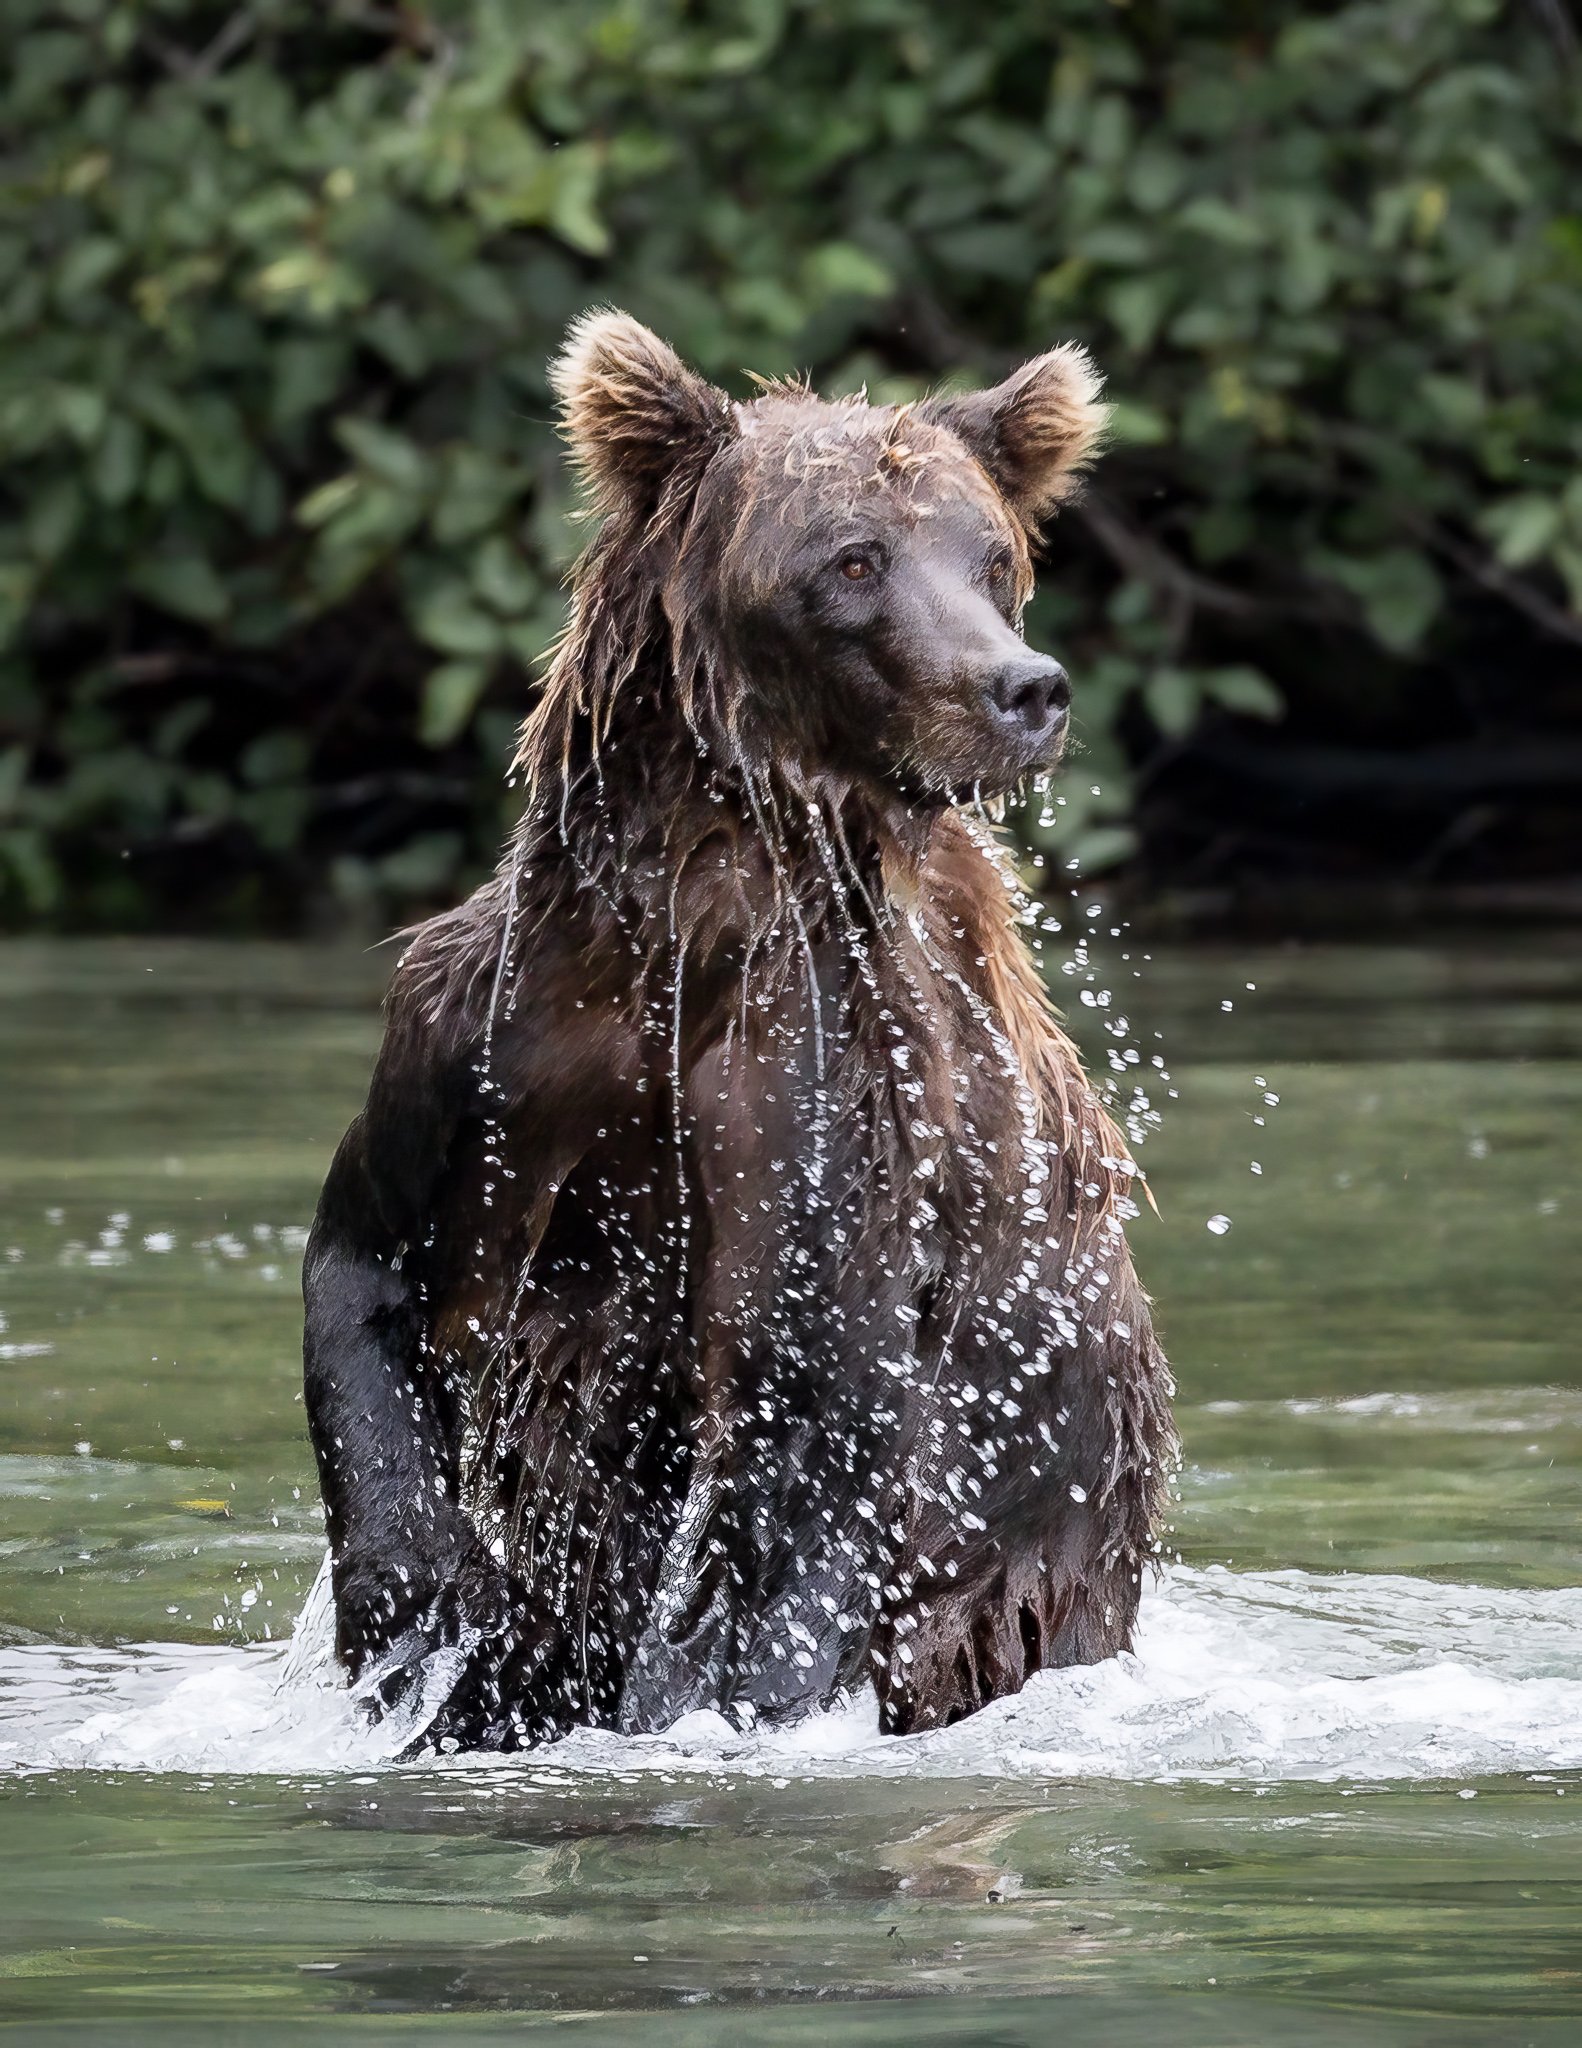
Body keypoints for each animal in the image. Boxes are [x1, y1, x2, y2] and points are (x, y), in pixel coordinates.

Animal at [302, 311, 1176, 1754]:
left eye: (991, 557)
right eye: (855, 558)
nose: (1021, 688)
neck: (689, 927)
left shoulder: (835, 1096)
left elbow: (807, 1425)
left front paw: (688, 1702)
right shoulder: (492, 1047)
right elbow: (368, 1278)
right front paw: (440, 1627)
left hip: (1043, 1546)